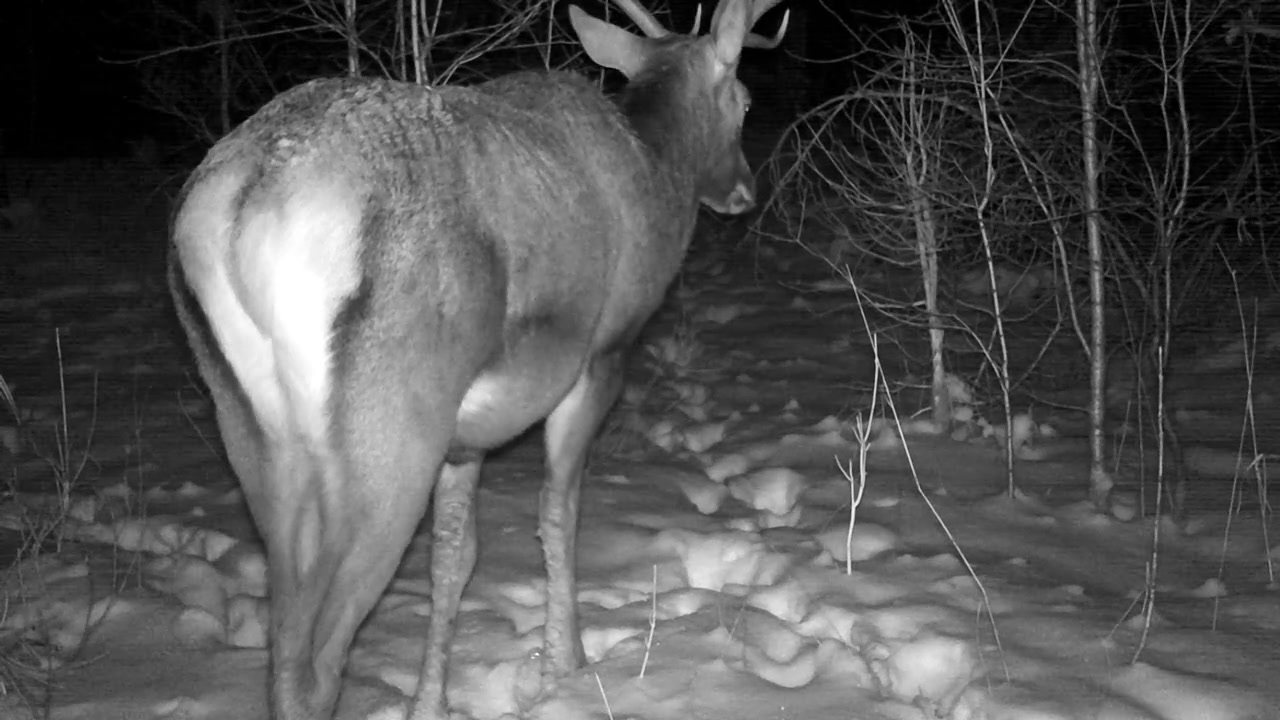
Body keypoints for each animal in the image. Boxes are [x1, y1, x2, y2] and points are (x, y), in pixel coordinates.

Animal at [168, 1, 786, 718]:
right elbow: (558, 515)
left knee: (285, 630)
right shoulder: (603, 353)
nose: (743, 190)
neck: (658, 174)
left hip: (255, 428)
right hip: (391, 420)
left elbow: (453, 559)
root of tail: (249, 199)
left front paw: (431, 701)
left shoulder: (465, 436)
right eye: (745, 99)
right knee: (314, 660)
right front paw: (567, 665)